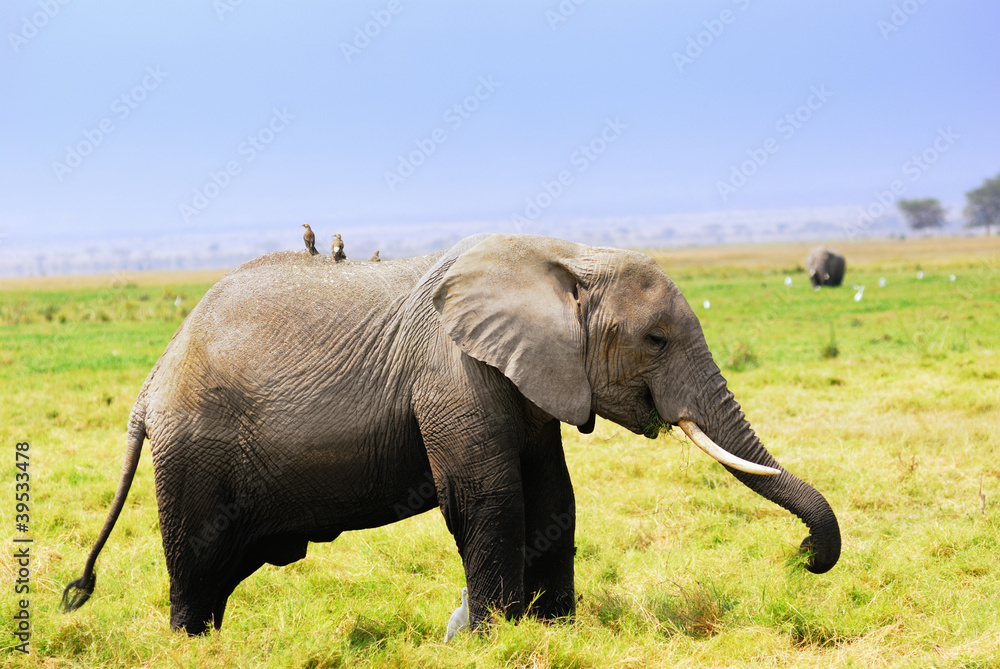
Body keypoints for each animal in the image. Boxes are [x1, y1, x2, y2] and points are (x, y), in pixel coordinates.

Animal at [62, 233, 840, 635]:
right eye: (655, 339)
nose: (805, 555)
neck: (564, 253)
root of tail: (148, 385)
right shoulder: (452, 369)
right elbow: (488, 496)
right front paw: (494, 637)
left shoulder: (531, 378)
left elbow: (554, 499)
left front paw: (555, 631)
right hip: (193, 450)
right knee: (198, 559)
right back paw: (192, 643)